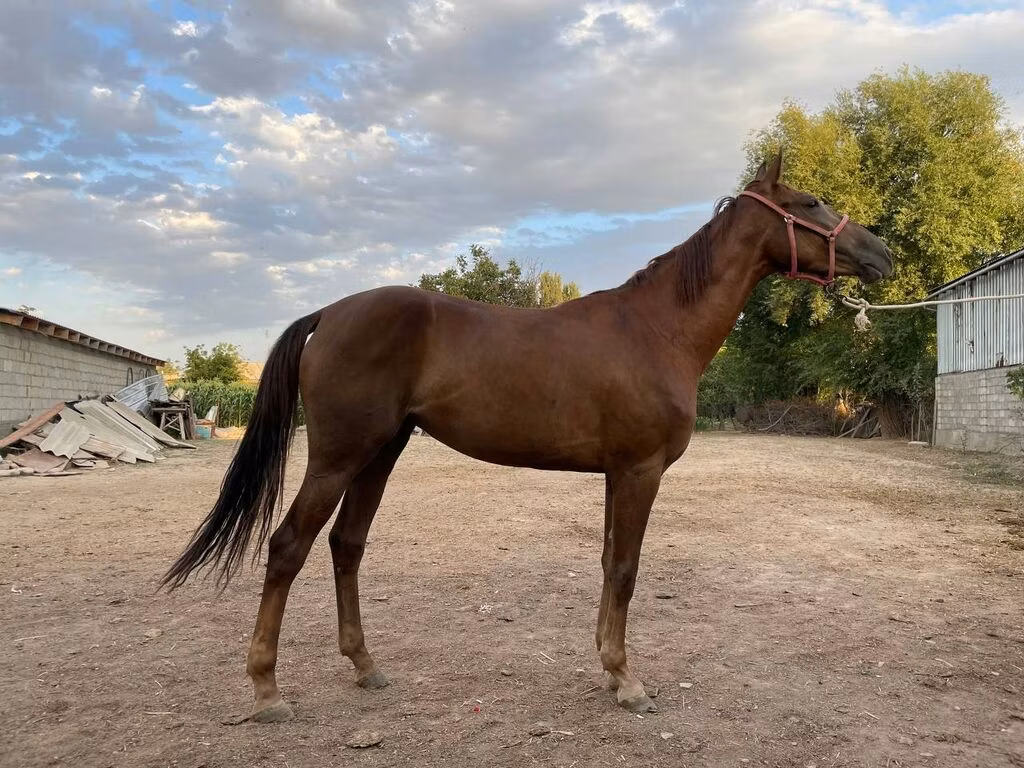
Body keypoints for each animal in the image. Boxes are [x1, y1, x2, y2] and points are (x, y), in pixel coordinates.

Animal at [162, 152, 893, 722]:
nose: (881, 253)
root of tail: (329, 314)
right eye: (810, 202)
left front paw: (610, 670)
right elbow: (626, 570)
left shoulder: (618, 473)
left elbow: (609, 565)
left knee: (347, 546)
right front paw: (629, 682)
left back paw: (365, 666)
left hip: (381, 453)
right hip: (340, 456)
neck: (657, 329)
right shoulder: (640, 470)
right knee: (289, 547)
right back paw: (267, 691)